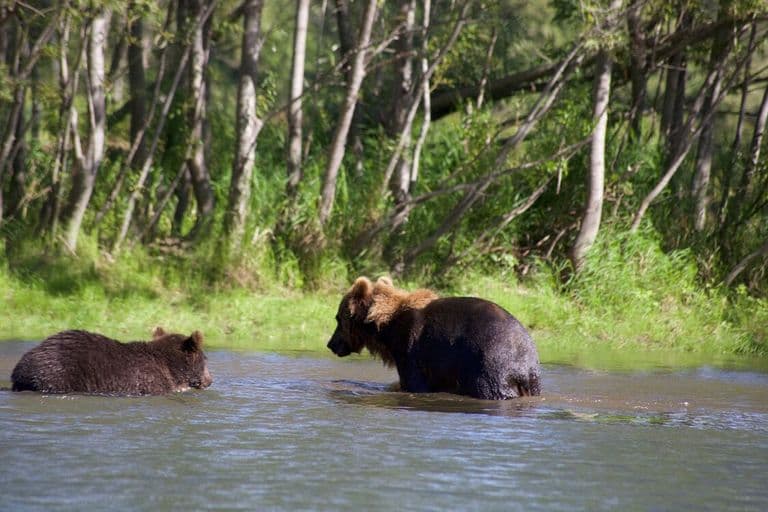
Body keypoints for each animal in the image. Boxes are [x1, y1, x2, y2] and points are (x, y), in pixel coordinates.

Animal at [327, 276, 541, 400]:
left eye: (338, 318)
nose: (331, 344)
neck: (386, 328)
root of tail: (523, 365)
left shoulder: (411, 350)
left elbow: (414, 384)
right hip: (532, 377)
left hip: (487, 365)